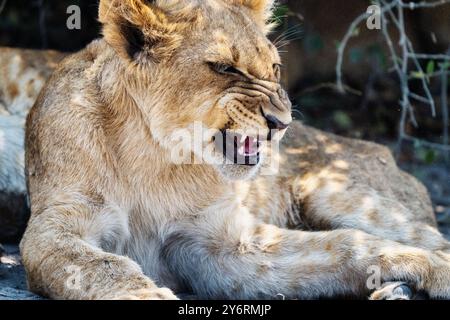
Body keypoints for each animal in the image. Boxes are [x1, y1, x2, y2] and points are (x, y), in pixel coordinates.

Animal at [22, 0, 450, 300]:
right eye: (226, 68)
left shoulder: (220, 243)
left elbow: (347, 243)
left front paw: (435, 269)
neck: (155, 158)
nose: (282, 123)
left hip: (334, 193)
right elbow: (101, 264)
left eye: (274, 68)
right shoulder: (54, 226)